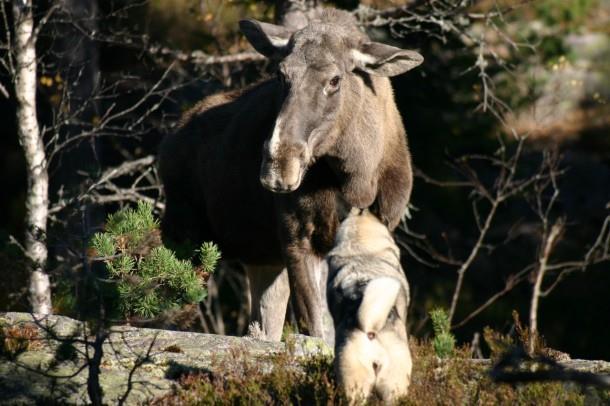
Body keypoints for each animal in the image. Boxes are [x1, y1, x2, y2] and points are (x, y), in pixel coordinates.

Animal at [158, 8, 422, 342]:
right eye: (282, 74)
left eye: (335, 79)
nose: (280, 163)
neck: (359, 176)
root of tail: (169, 140)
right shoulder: (299, 236)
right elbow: (317, 329)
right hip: (184, 233)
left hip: (263, 259)